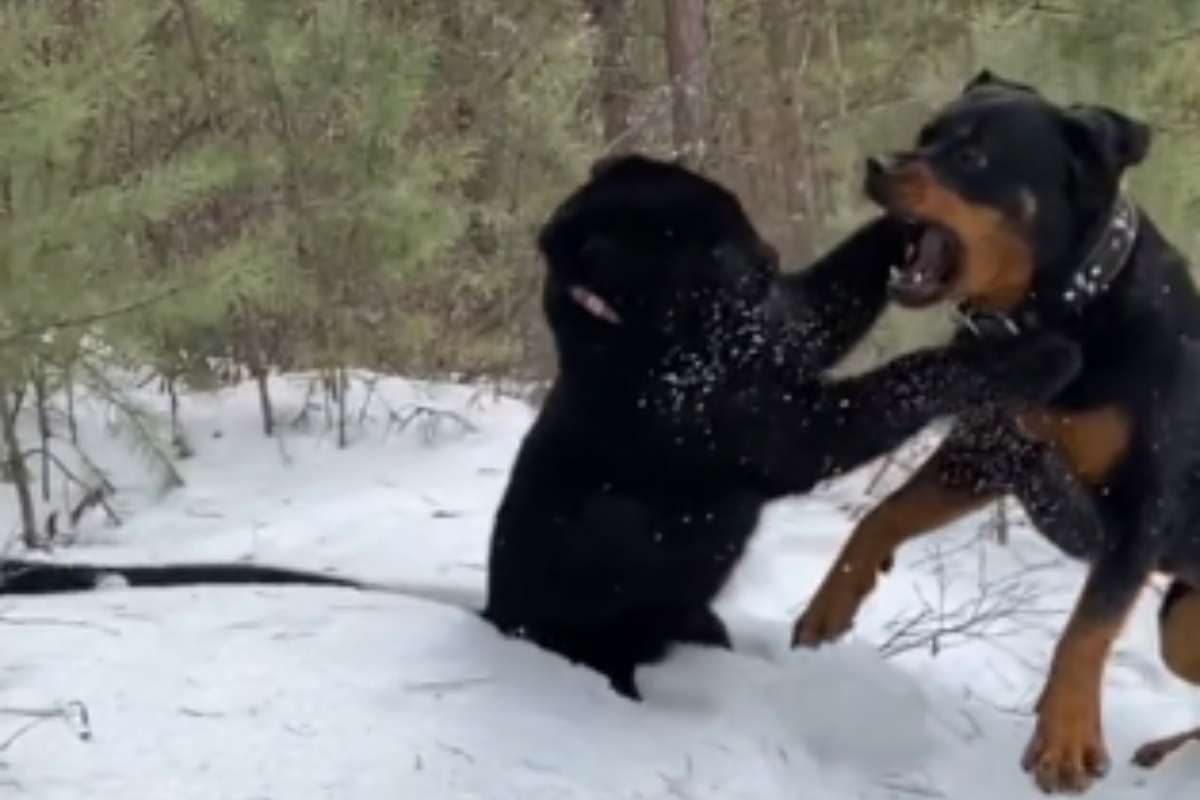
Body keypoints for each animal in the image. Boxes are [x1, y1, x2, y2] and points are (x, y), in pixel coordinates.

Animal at [480, 151, 1080, 700]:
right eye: (714, 245)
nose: (769, 261)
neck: (660, 342)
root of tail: (494, 616)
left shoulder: (779, 332)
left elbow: (829, 296)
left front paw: (911, 217)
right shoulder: (790, 430)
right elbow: (910, 376)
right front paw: (1035, 358)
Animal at [792, 70, 1200, 796]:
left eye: (974, 157)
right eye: (927, 133)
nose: (878, 166)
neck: (1063, 315)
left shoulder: (1140, 511)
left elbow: (1086, 630)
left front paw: (1065, 742)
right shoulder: (987, 454)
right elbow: (880, 515)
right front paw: (832, 602)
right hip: (1184, 626)